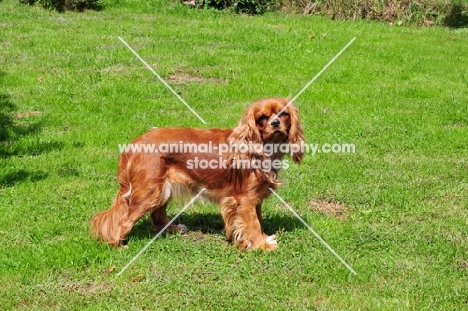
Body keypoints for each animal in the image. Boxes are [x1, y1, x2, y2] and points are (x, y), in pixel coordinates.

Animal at [91, 98, 304, 252]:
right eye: (262, 118)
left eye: (284, 114)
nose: (275, 122)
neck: (262, 148)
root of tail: (134, 144)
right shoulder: (243, 200)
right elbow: (252, 224)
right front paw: (262, 244)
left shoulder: (255, 198)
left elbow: (258, 220)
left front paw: (262, 239)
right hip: (148, 193)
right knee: (123, 220)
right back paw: (117, 244)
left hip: (162, 189)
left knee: (157, 215)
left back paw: (173, 229)